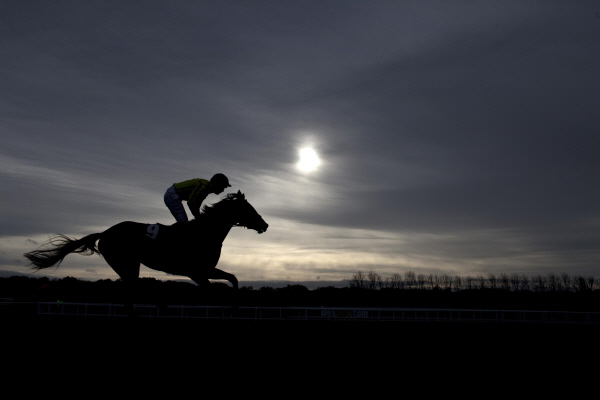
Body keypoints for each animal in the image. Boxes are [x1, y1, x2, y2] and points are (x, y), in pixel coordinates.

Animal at [23, 192, 268, 308]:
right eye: (248, 208)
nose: (264, 225)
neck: (204, 233)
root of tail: (106, 232)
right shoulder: (197, 272)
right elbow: (217, 289)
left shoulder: (203, 271)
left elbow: (233, 278)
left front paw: (234, 306)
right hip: (126, 263)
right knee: (135, 290)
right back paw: (160, 304)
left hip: (126, 265)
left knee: (131, 293)